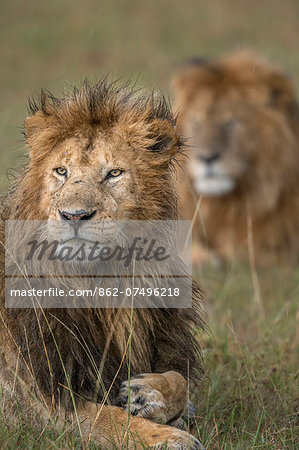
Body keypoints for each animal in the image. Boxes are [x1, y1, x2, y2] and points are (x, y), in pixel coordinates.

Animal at [0, 79, 204, 448]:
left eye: (114, 173)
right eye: (61, 171)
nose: (74, 215)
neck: (102, 284)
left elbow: (181, 384)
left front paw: (145, 394)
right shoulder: (40, 403)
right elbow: (114, 420)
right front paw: (170, 437)